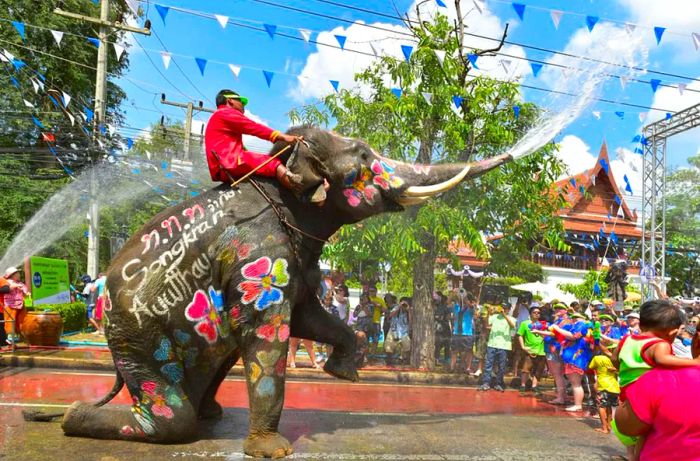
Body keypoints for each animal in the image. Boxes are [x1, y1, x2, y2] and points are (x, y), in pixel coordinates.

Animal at [53, 125, 516, 456]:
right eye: (363, 157)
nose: (512, 154)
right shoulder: (257, 257)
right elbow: (268, 332)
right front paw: (272, 451)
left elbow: (308, 317)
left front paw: (343, 372)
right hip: (137, 334)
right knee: (173, 417)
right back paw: (74, 417)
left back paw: (210, 414)